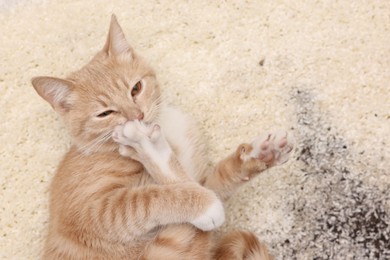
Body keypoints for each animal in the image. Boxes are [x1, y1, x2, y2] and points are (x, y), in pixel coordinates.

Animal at [32, 15, 294, 258]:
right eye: (105, 113)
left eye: (136, 88)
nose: (137, 116)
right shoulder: (93, 211)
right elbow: (146, 199)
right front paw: (203, 206)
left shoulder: (200, 180)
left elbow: (216, 182)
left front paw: (259, 156)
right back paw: (146, 146)